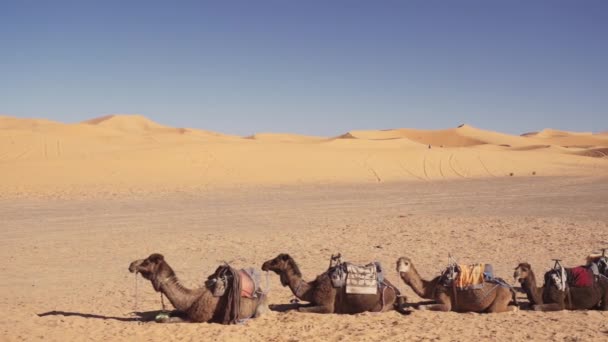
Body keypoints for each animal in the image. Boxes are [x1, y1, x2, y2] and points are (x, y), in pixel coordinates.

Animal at [129, 254, 268, 324]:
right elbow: (171, 312)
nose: (131, 265)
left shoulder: (196, 319)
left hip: (259, 309)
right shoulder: (185, 310)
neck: (191, 299)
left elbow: (164, 320)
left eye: (146, 262)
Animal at [260, 252, 400, 314]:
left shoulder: (327, 306)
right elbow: (297, 305)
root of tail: (394, 290)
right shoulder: (315, 301)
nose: (264, 264)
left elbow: (299, 308)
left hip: (382, 305)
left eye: (275, 261)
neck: (311, 288)